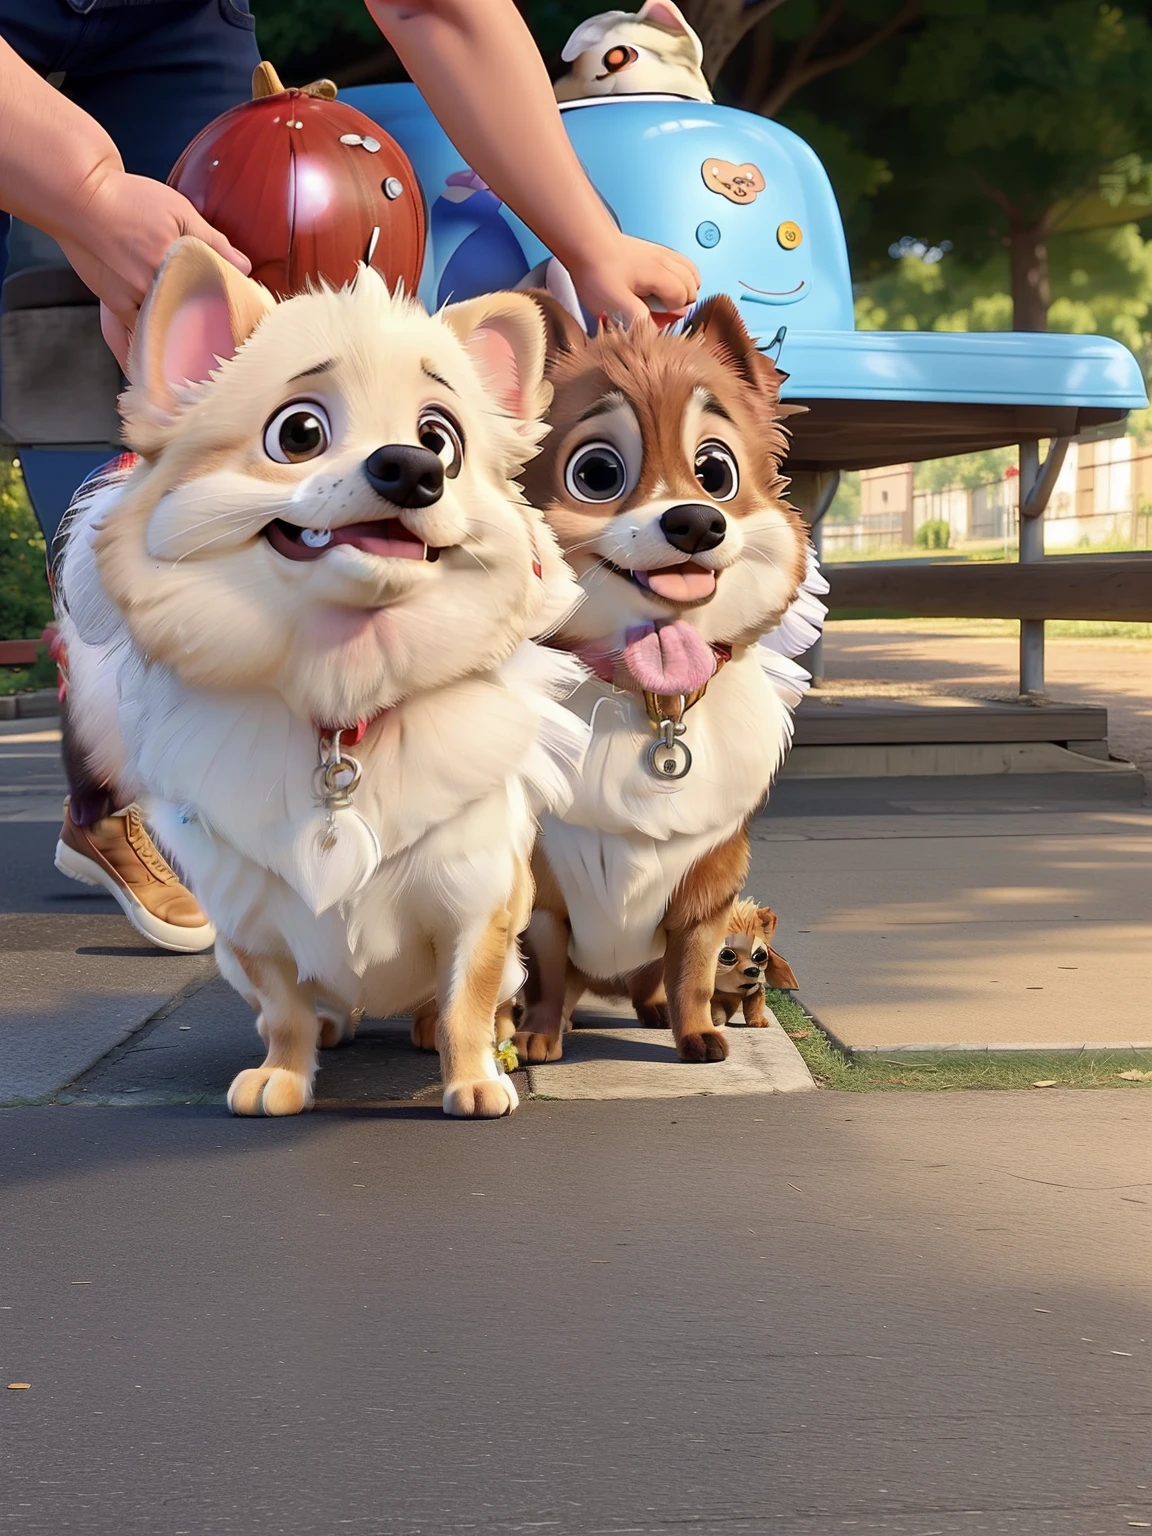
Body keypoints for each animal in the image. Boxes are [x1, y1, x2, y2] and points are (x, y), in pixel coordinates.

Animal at [58, 242, 589, 1130]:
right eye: (299, 433)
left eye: (441, 440)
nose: (412, 469)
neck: (344, 700)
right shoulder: (249, 922)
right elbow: (283, 1010)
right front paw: (283, 1074)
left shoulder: (478, 897)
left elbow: (469, 999)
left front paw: (474, 1077)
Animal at [712, 897, 804, 1032]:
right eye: (727, 955)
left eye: (760, 955)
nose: (753, 970)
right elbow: (717, 1010)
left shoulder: (756, 990)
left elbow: (755, 1006)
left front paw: (758, 1022)